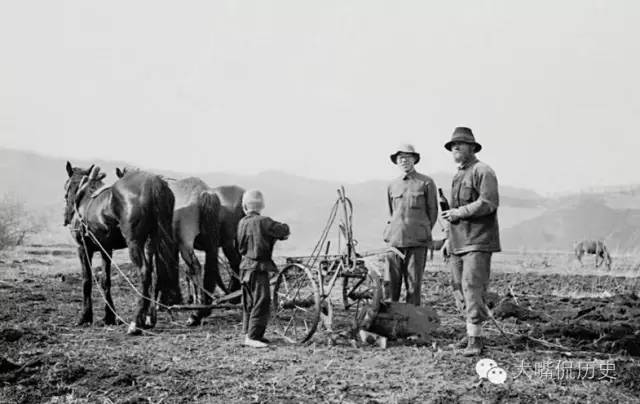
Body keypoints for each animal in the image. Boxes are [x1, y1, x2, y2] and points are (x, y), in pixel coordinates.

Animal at [64, 161, 182, 334]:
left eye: (67, 188)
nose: (66, 217)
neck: (83, 195)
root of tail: (154, 184)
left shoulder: (83, 248)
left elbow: (87, 281)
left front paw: (85, 317)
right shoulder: (106, 249)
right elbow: (105, 281)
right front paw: (109, 316)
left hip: (134, 243)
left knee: (145, 272)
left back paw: (135, 323)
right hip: (154, 240)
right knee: (155, 273)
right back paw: (148, 318)